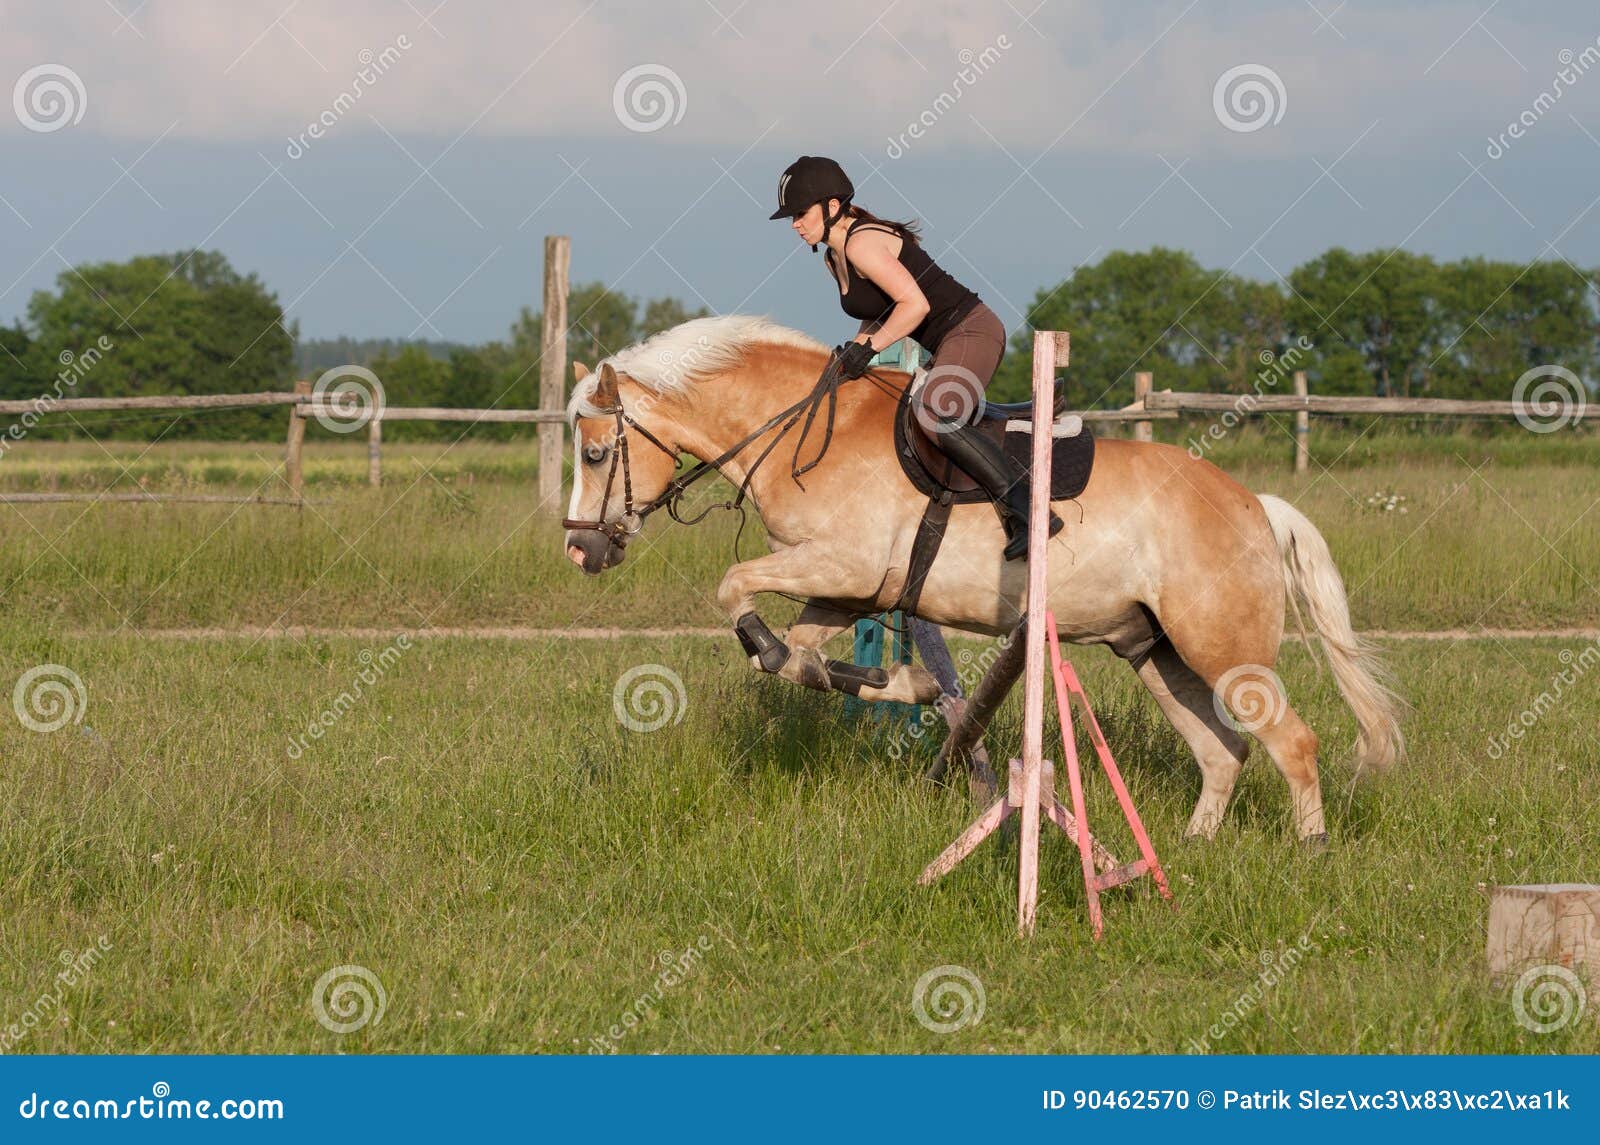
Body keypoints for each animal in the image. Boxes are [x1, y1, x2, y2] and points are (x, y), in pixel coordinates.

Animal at [563, 313, 1401, 837]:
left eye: (597, 454)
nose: (581, 550)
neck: (803, 430)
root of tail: (1253, 503)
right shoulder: (844, 589)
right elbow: (797, 656)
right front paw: (910, 685)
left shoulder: (842, 564)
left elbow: (734, 588)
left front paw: (905, 685)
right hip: (1155, 650)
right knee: (1222, 752)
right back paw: (1192, 851)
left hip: (1221, 647)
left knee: (1292, 742)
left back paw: (1310, 854)